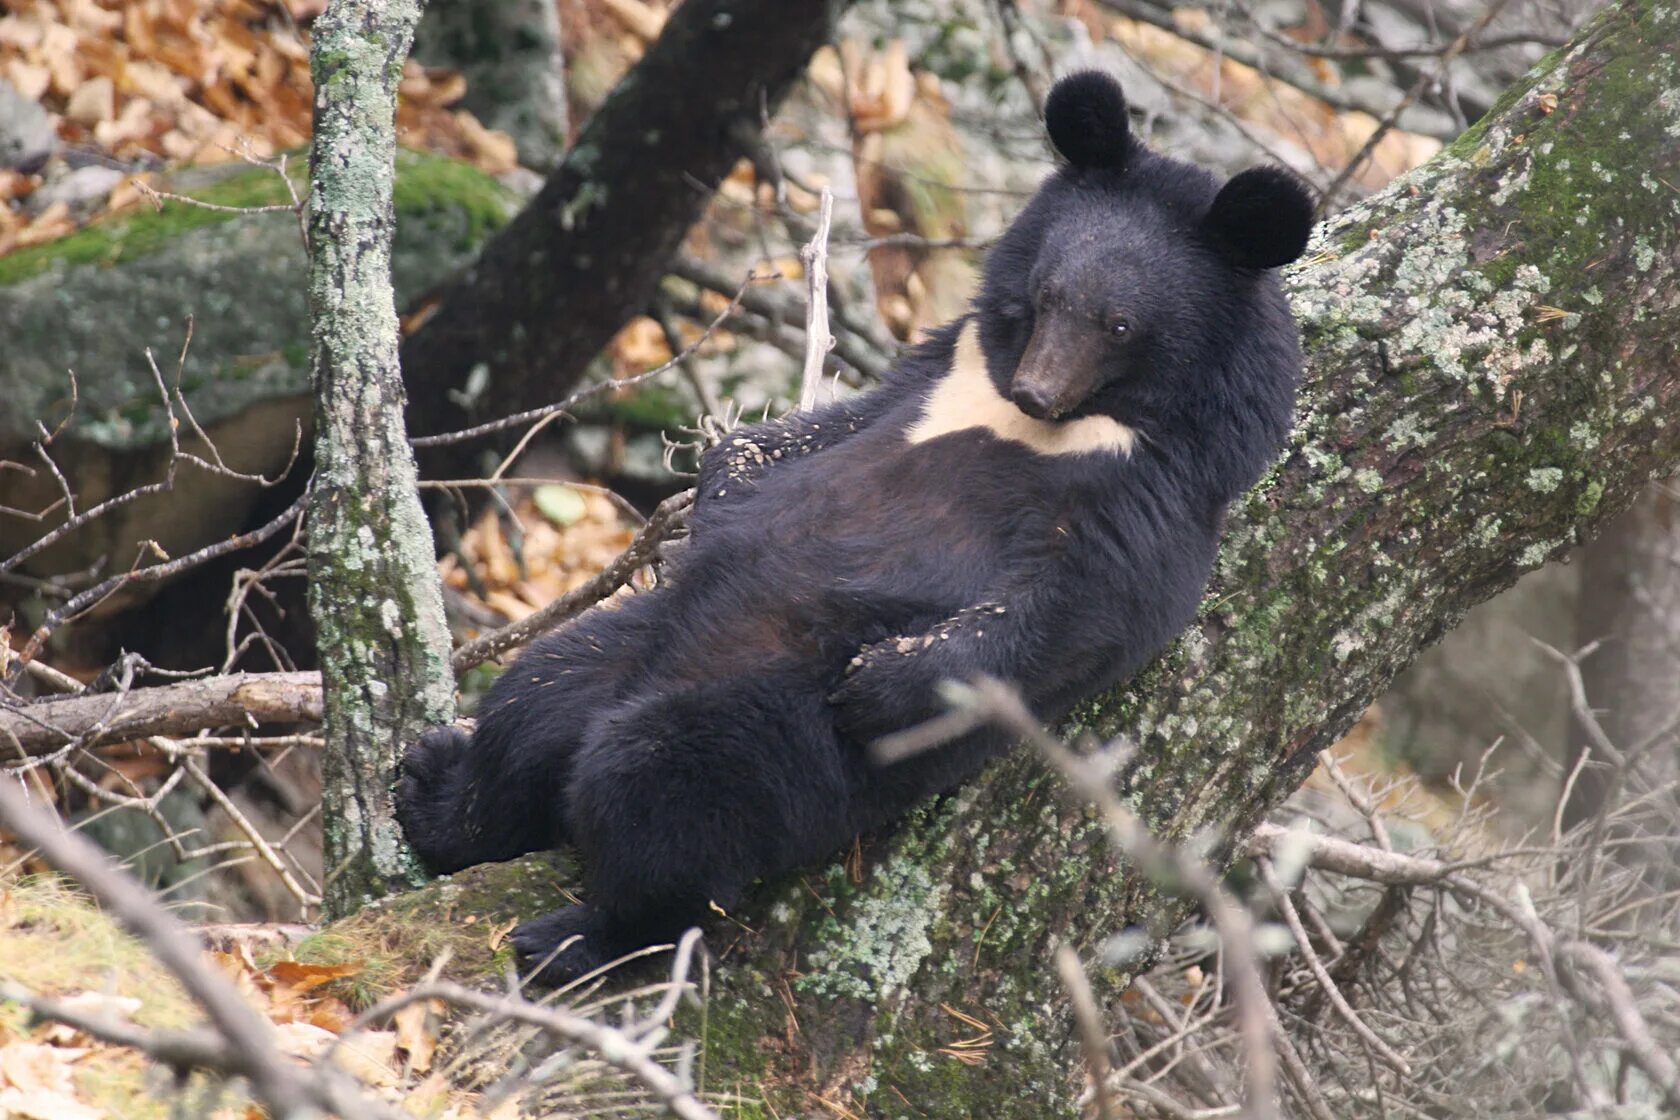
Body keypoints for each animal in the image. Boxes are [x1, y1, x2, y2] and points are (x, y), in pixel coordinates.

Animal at [393, 70, 1310, 987]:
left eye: (1120, 325)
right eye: (1051, 295)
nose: (1036, 390)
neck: (1086, 421)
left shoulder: (1153, 496)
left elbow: (1070, 610)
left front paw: (882, 682)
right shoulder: (943, 369)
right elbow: (810, 430)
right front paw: (724, 493)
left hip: (782, 736)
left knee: (658, 794)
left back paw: (583, 934)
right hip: (616, 648)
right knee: (533, 703)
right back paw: (433, 791)